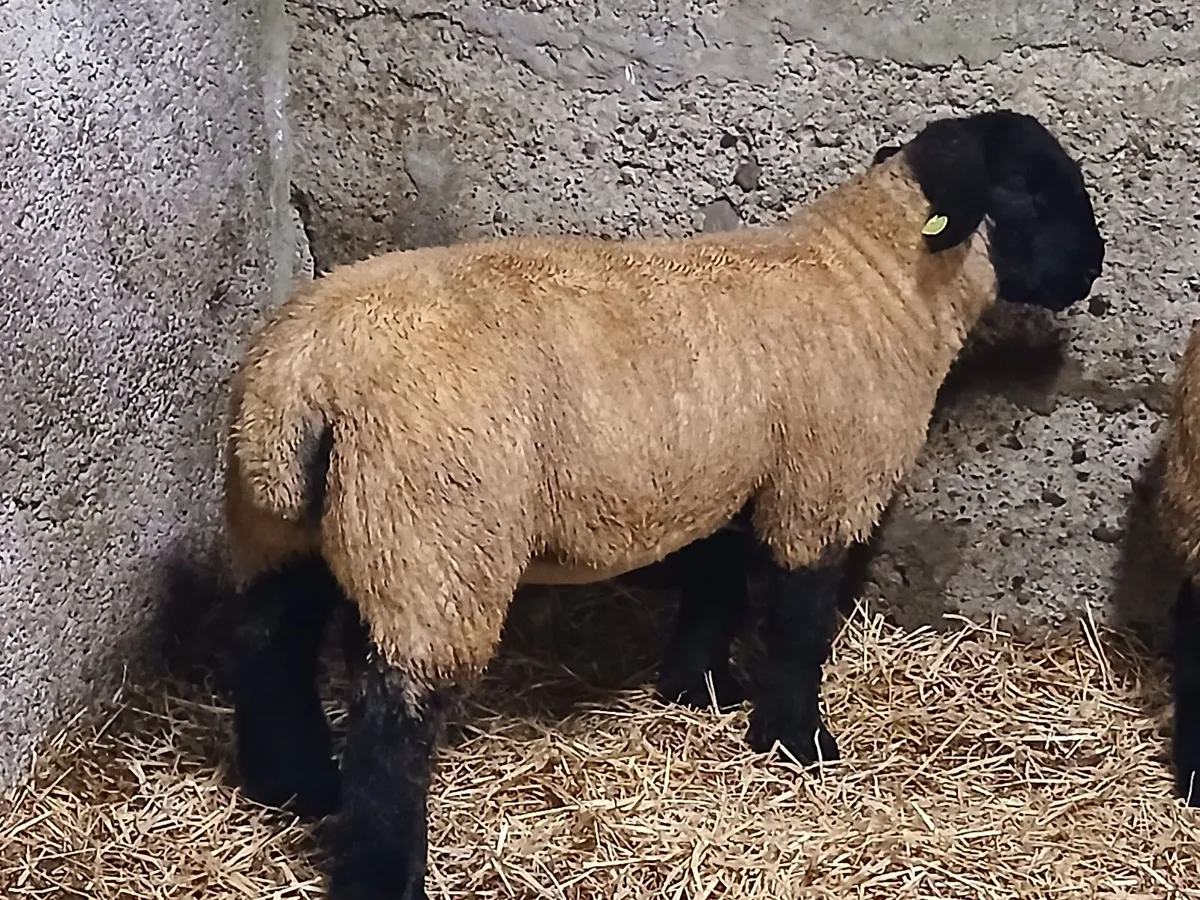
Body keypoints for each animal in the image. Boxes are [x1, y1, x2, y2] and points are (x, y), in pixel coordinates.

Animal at [223, 108, 1105, 899]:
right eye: (1032, 188)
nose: (1095, 266)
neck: (878, 281)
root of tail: (309, 377)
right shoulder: (819, 488)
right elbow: (799, 623)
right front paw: (797, 743)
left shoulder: (731, 478)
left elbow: (713, 586)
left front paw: (699, 689)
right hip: (434, 539)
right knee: (393, 721)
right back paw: (381, 871)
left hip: (279, 523)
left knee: (269, 645)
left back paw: (294, 788)